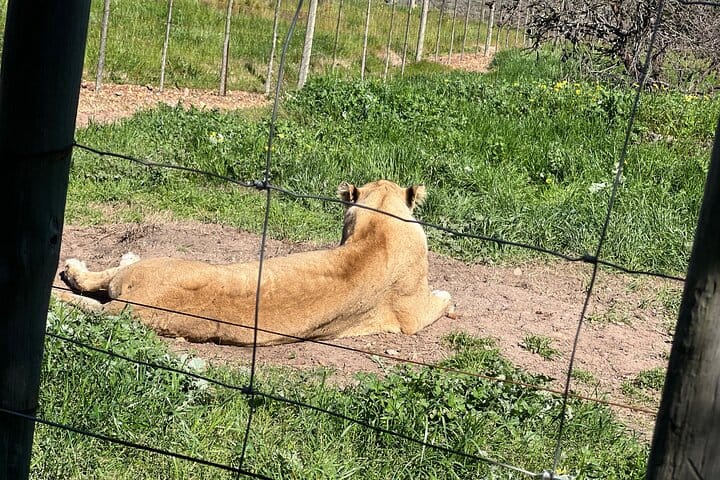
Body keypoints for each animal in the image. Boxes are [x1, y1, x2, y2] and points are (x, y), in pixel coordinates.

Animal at [59, 180, 453, 346]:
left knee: (97, 280)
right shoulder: (412, 316)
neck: (381, 223)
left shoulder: (411, 315)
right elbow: (444, 298)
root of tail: (129, 306)